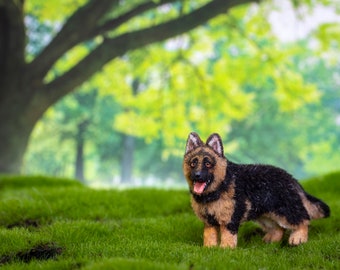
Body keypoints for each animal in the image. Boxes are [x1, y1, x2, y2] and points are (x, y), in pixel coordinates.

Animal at [183, 132, 330, 248]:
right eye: (193, 163)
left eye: (208, 163)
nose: (197, 175)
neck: (221, 184)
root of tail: (291, 179)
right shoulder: (209, 222)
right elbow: (209, 236)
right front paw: (209, 249)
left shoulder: (229, 220)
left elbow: (227, 237)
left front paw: (225, 250)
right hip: (265, 215)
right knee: (278, 228)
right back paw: (271, 241)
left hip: (286, 211)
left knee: (303, 220)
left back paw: (298, 238)